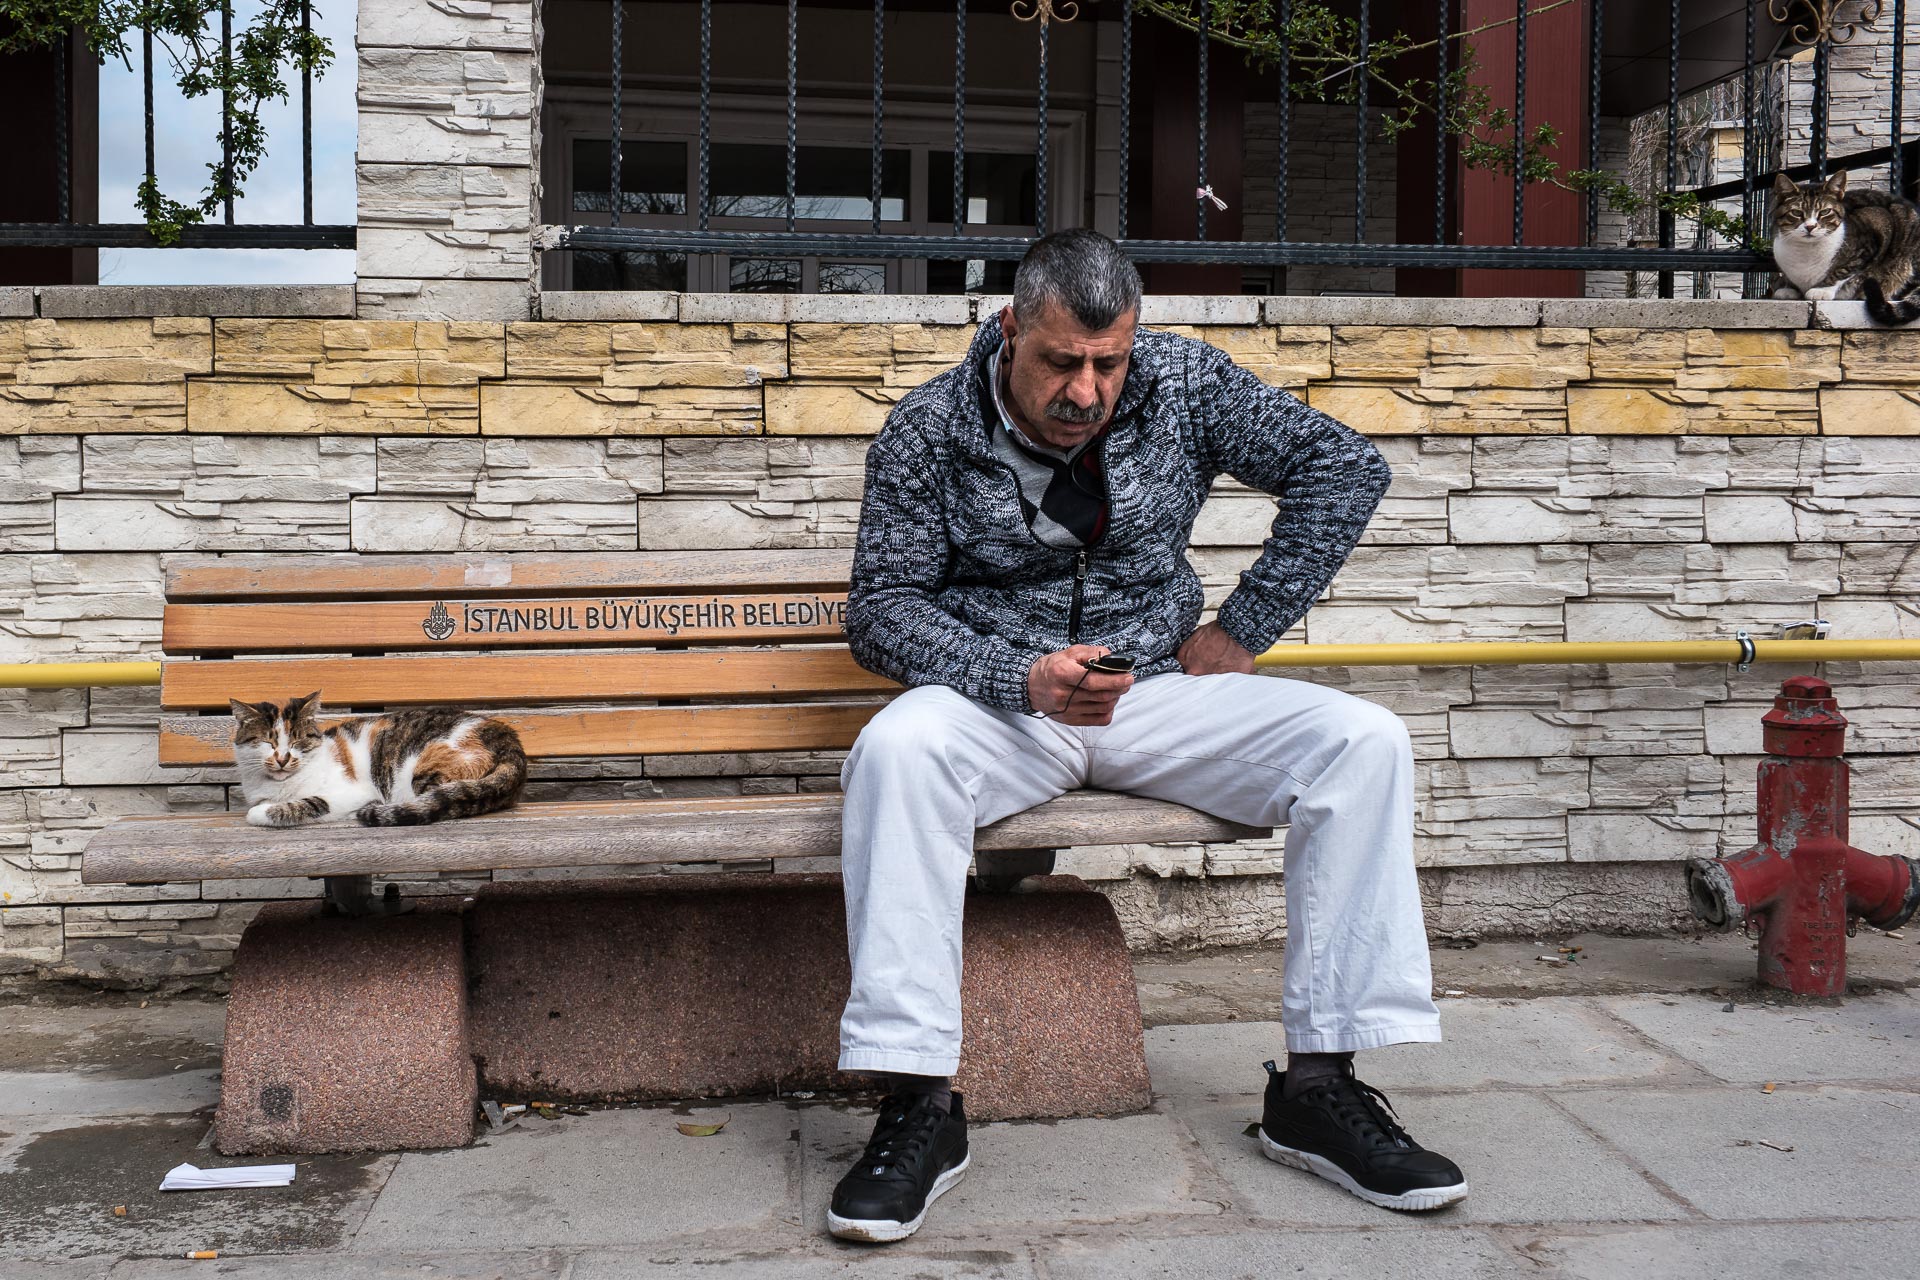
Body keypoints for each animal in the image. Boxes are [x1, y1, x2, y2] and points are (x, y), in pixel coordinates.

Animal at [234, 690, 533, 832]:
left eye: (297, 741)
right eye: (268, 742)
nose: (283, 758)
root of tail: (505, 735)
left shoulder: (353, 792)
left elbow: (310, 803)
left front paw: (260, 813)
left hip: (424, 771)